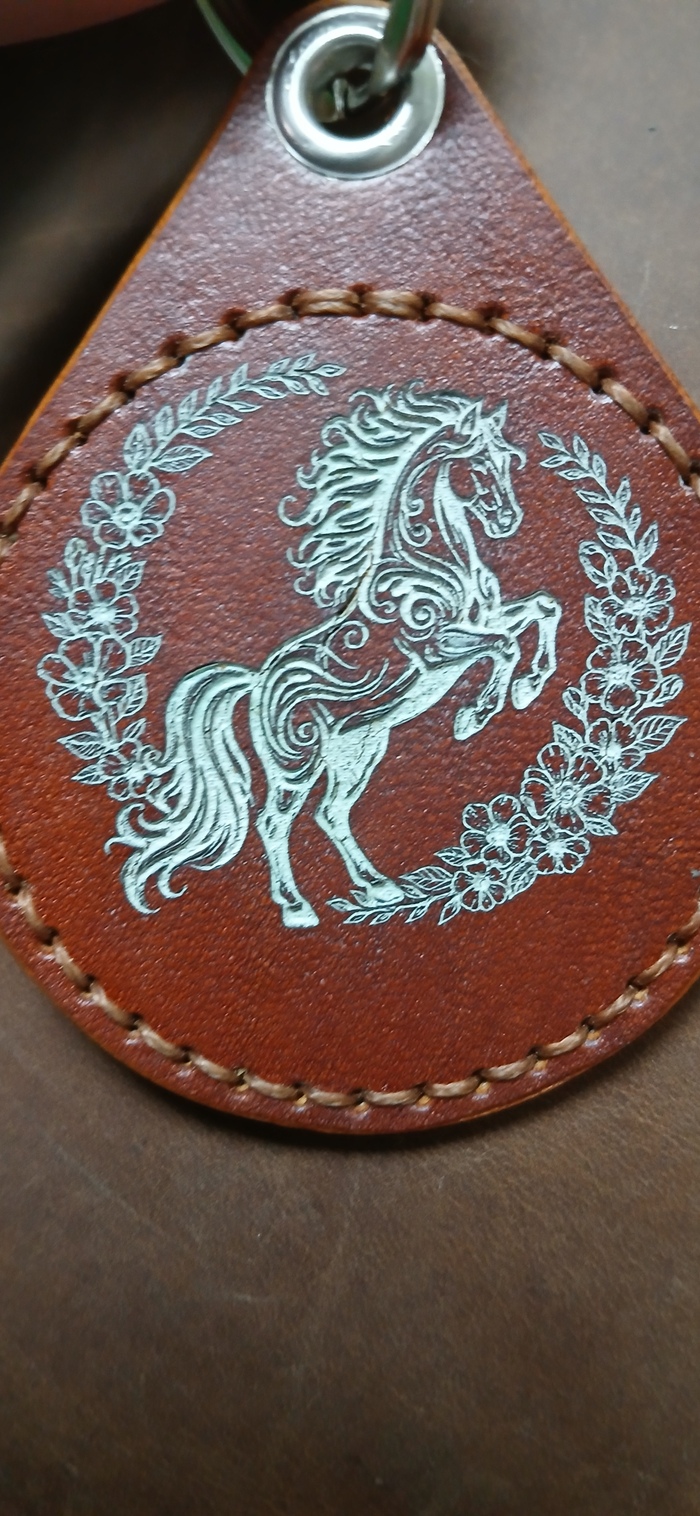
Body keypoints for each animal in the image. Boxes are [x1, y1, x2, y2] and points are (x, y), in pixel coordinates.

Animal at [112, 384, 561, 925]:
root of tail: (254, 684)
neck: (431, 563)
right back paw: (296, 907)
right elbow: (504, 647)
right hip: (296, 761)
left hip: (360, 747)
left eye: (510, 459)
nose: (507, 521)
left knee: (331, 813)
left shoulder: (488, 618)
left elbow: (542, 610)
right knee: (274, 821)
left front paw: (529, 686)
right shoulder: (435, 648)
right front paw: (476, 715)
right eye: (476, 466)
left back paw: (376, 887)